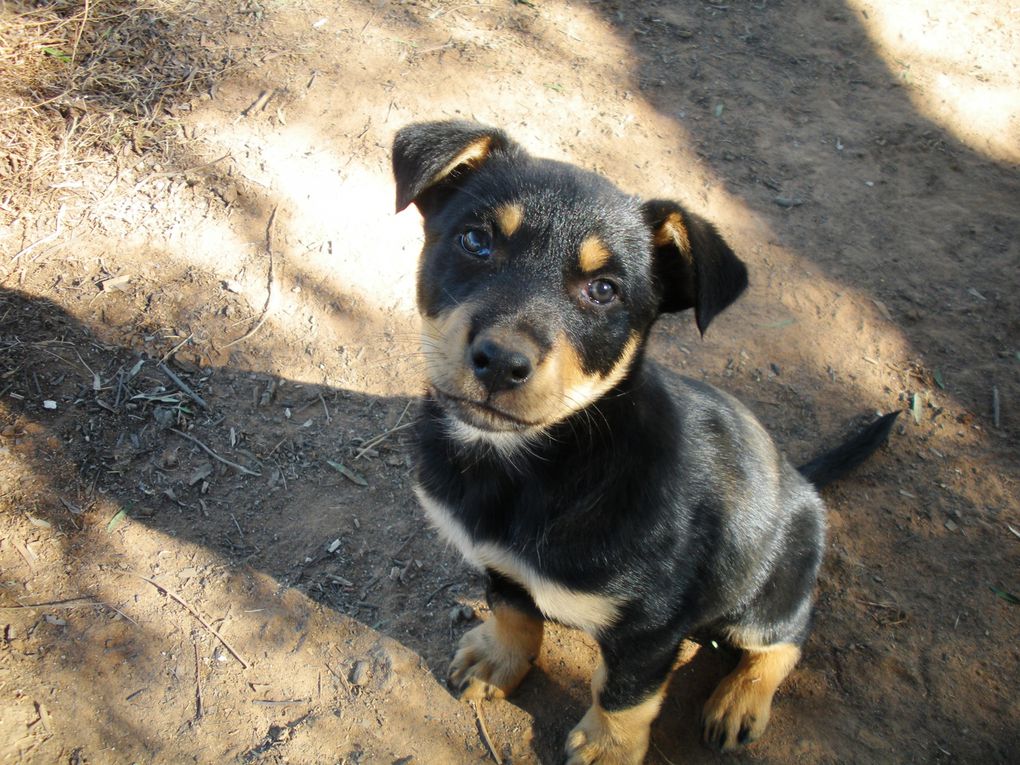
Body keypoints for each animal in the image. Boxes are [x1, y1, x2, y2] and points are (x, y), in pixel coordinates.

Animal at [393, 121, 897, 765]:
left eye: (605, 290)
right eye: (476, 241)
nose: (501, 362)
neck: (535, 468)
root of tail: (803, 480)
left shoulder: (651, 627)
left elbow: (625, 693)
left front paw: (608, 748)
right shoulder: (499, 561)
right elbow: (512, 609)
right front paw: (500, 659)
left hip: (768, 589)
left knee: (787, 637)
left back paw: (740, 700)